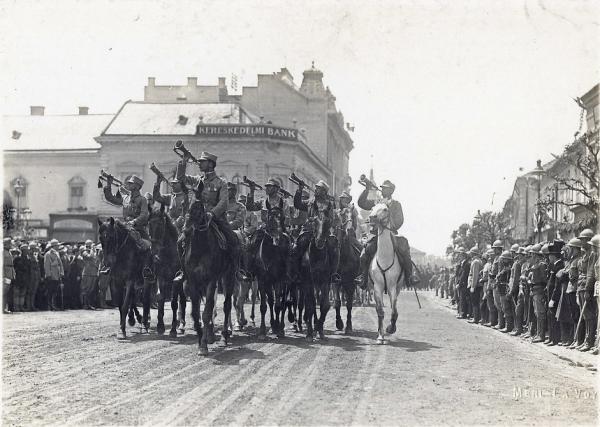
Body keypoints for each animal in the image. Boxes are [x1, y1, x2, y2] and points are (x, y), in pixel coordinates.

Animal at [368, 203, 406, 344]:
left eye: (385, 209)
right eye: (372, 207)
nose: (372, 217)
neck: (384, 258)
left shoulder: (392, 287)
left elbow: (394, 311)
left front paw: (391, 328)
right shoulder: (377, 287)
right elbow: (380, 311)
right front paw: (380, 336)